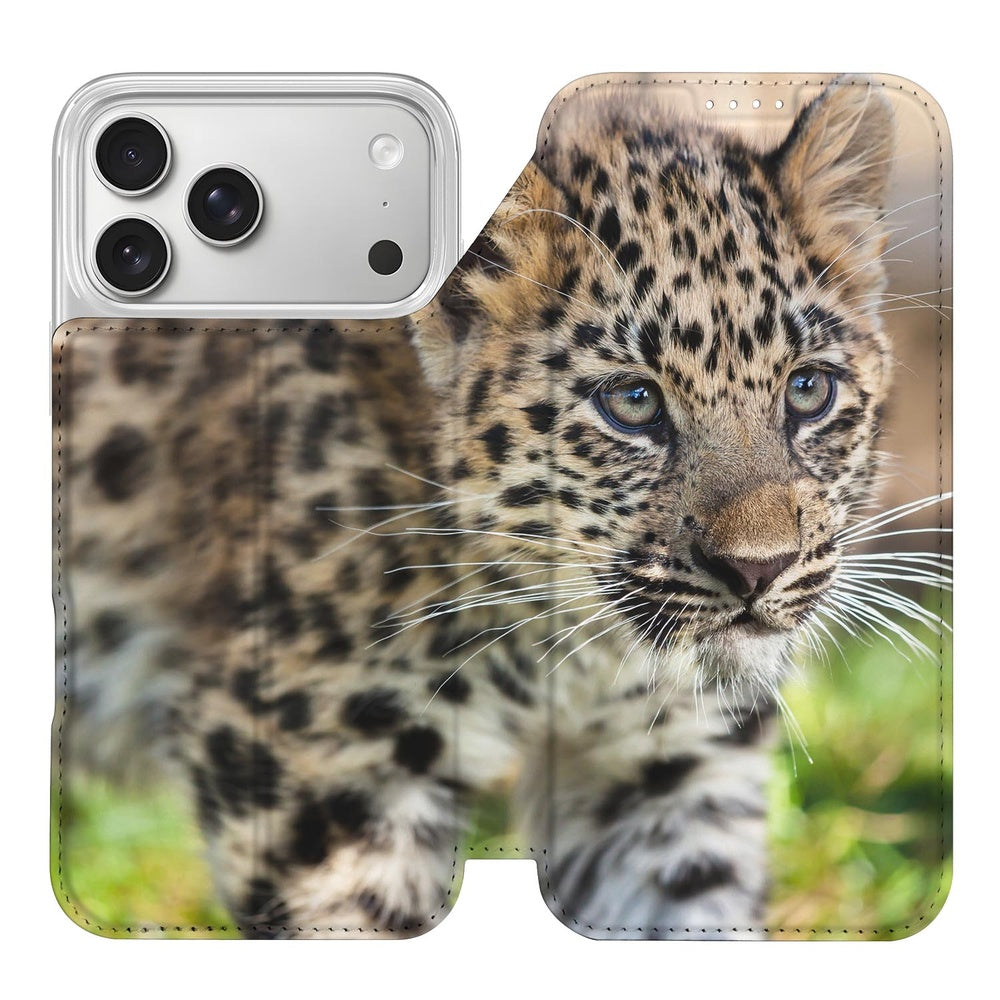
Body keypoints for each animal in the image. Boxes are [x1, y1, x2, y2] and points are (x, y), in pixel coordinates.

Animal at [54, 77, 905, 939]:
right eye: (632, 403)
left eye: (808, 389)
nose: (759, 571)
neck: (569, 651)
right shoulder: (314, 767)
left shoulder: (669, 778)